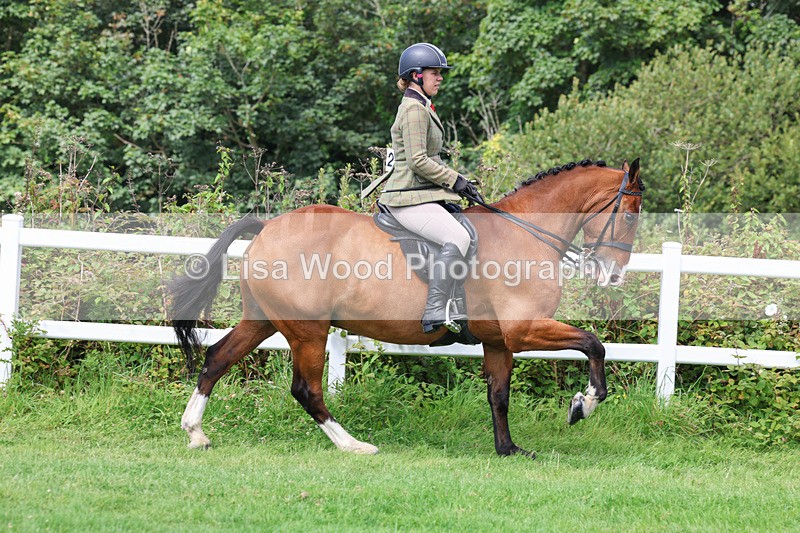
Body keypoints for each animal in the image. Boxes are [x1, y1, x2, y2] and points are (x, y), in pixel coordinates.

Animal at [171, 158, 644, 457]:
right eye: (631, 214)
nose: (612, 275)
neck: (525, 232)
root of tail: (268, 227)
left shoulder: (499, 340)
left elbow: (499, 395)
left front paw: (509, 449)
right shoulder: (523, 329)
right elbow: (594, 344)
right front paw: (583, 404)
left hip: (263, 320)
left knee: (217, 358)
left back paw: (195, 433)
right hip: (308, 331)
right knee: (306, 389)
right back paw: (354, 446)